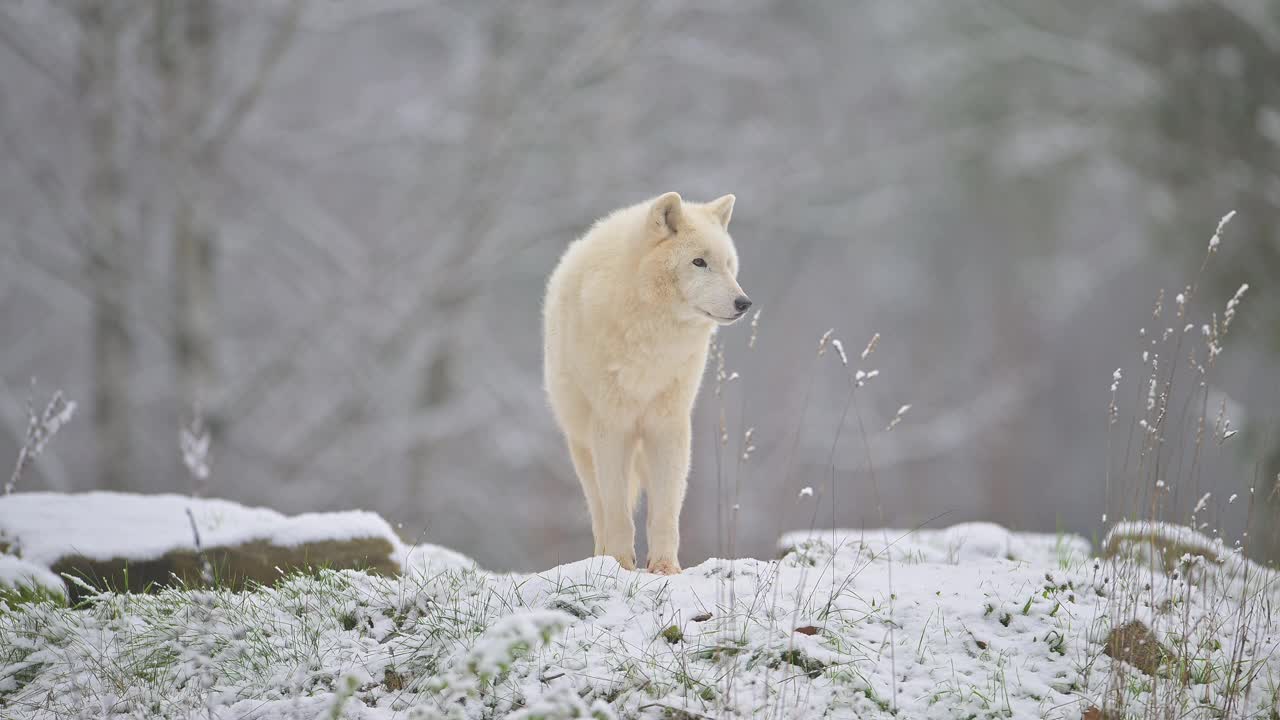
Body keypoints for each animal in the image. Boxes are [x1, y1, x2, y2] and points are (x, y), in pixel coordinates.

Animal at [542, 190, 747, 571]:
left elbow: (665, 511)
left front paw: (665, 568)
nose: (744, 302)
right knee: (599, 508)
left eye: (728, 265)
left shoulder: (668, 426)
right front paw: (621, 564)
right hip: (582, 446)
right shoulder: (612, 425)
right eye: (699, 262)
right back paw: (601, 556)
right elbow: (618, 510)